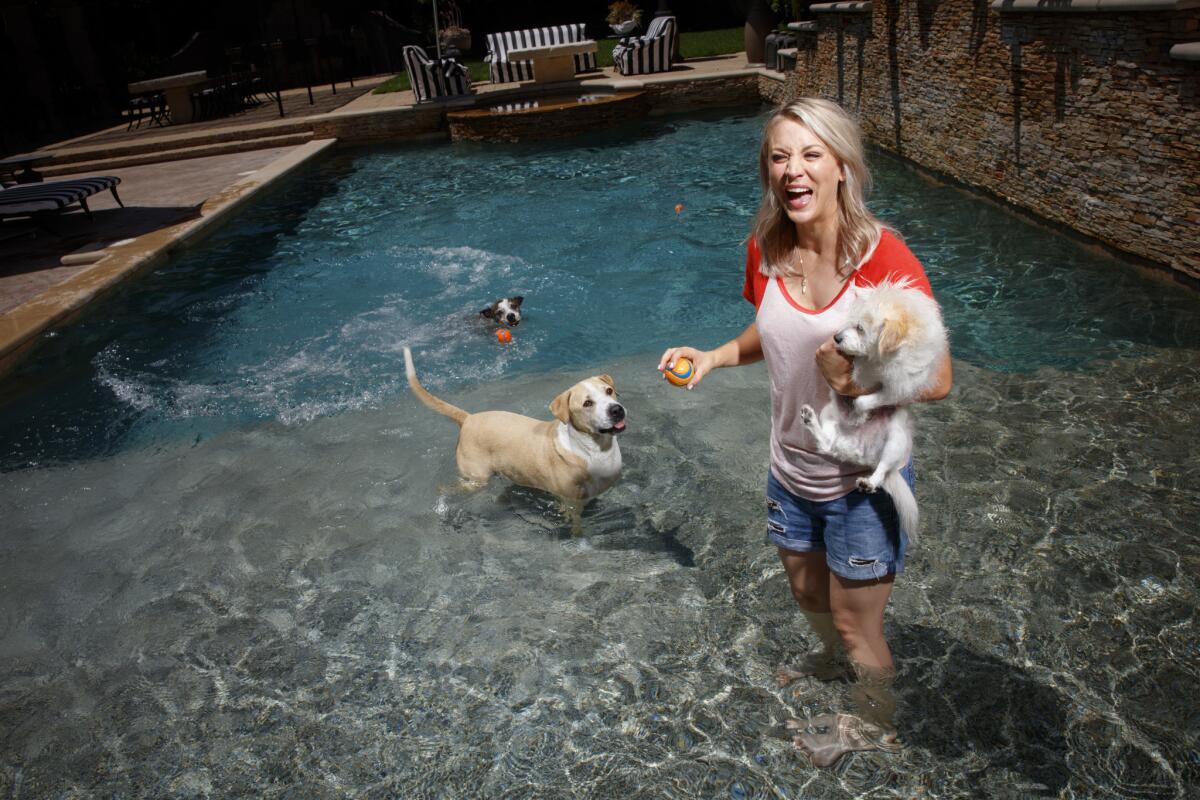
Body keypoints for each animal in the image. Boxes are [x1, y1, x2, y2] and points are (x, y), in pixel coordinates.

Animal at [403, 347, 628, 527]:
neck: (595, 450)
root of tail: (468, 418)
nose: (616, 410)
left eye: (609, 391)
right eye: (587, 403)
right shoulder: (570, 503)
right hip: (476, 479)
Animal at [801, 281, 950, 544]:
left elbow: (865, 399)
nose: (837, 337)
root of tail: (862, 453)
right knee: (827, 443)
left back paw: (869, 482)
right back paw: (811, 420)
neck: (881, 356)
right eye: (850, 323)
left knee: (882, 470)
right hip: (829, 414)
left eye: (860, 328)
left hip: (895, 441)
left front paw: (859, 414)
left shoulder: (899, 388)